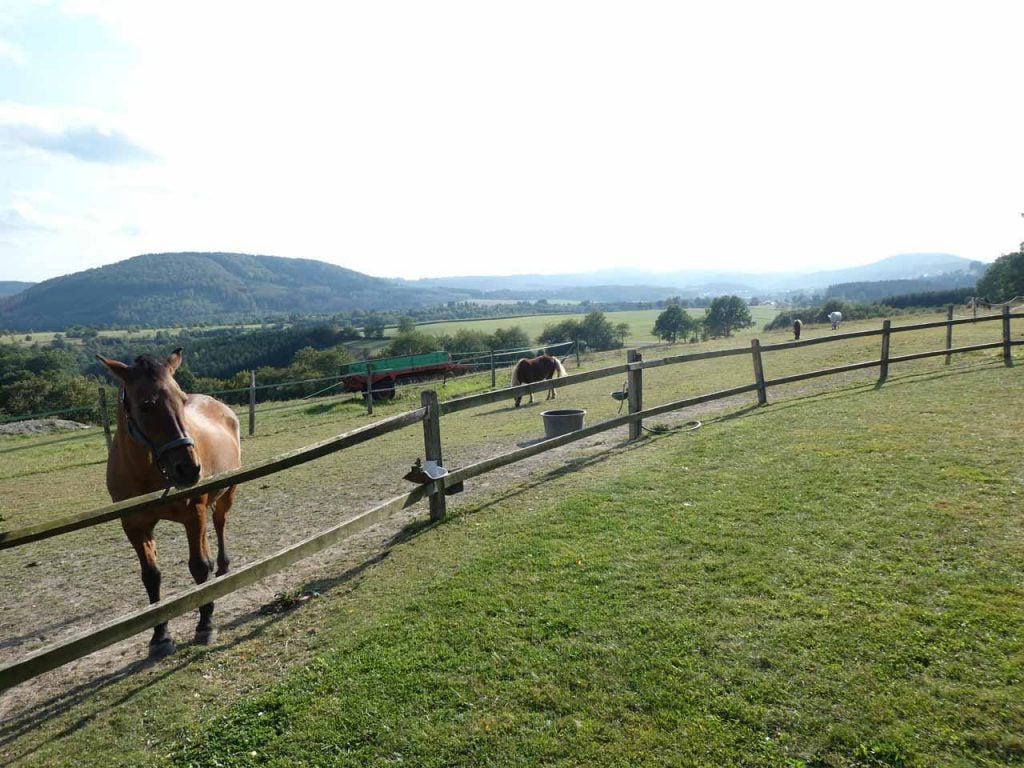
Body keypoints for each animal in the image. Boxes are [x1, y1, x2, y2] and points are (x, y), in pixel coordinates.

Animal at [100, 348, 243, 655]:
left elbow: (199, 567)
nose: (188, 469)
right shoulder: (134, 526)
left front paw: (205, 624)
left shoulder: (193, 514)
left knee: (220, 524)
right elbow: (151, 577)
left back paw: (223, 566)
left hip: (226, 494)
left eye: (181, 399)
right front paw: (160, 637)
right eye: (145, 405)